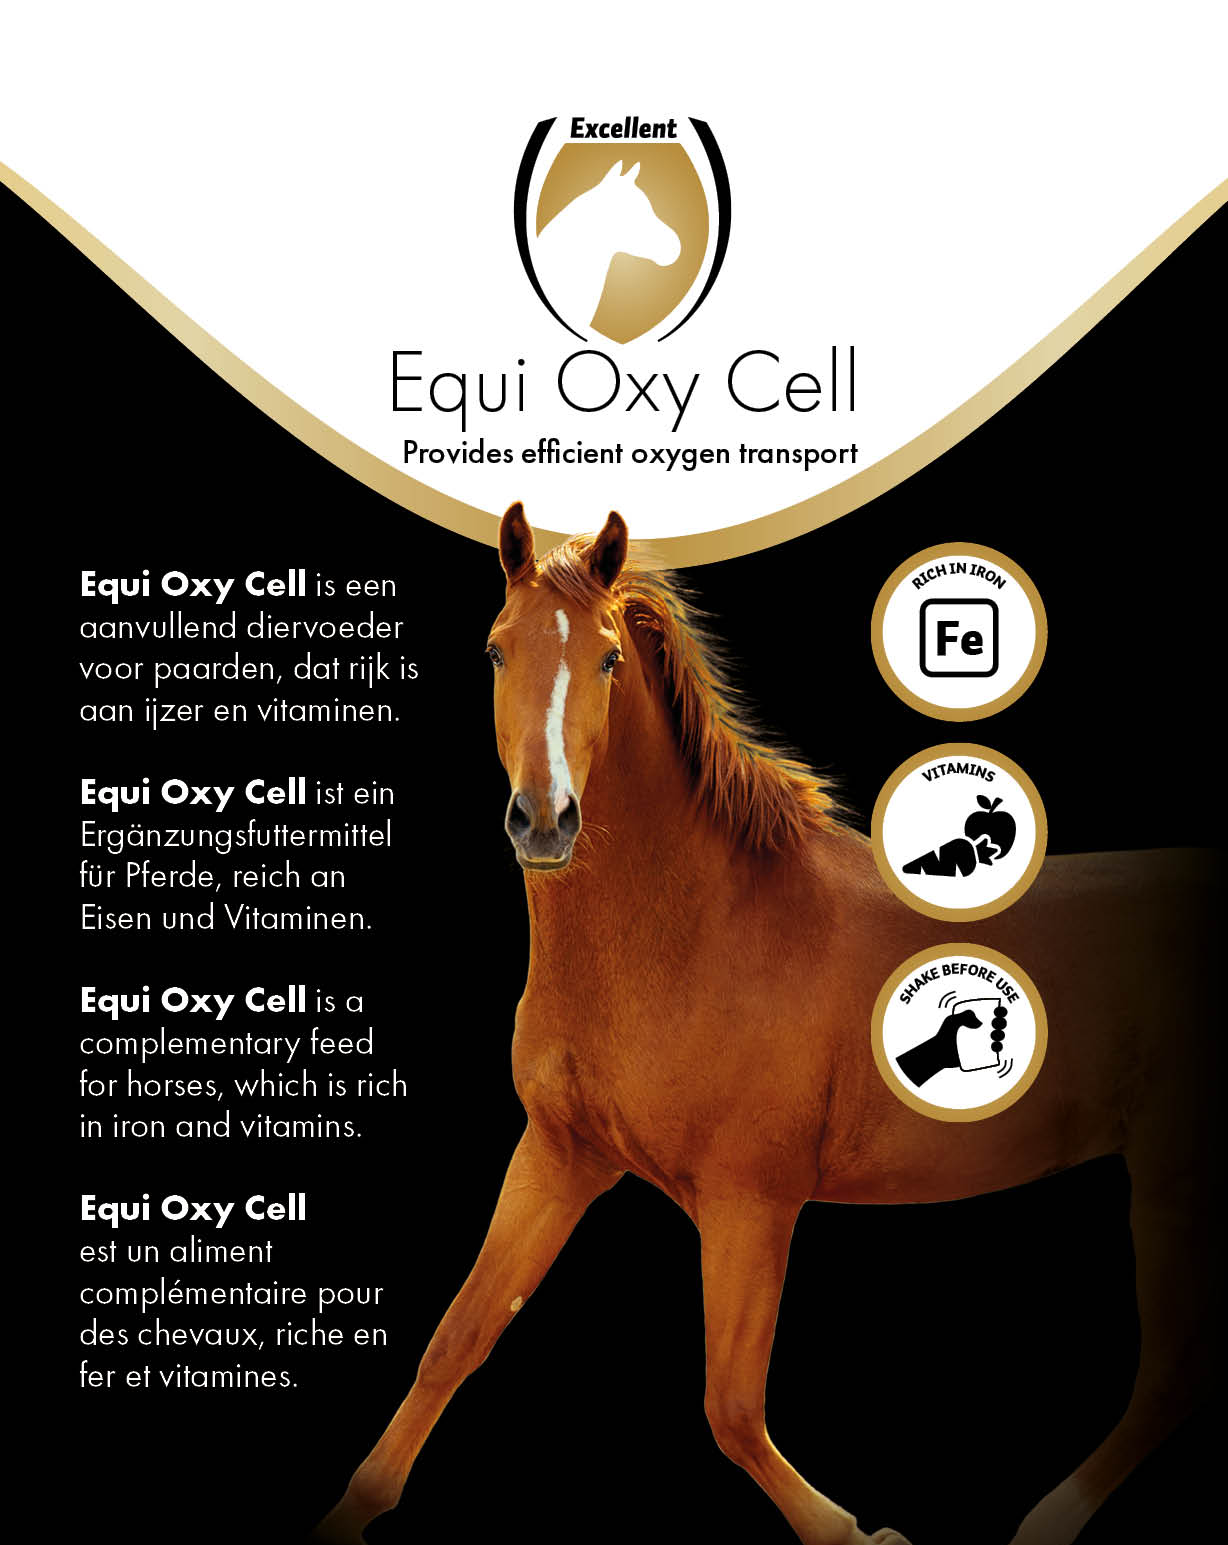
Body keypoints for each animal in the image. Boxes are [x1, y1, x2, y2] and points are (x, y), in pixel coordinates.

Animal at [315, 506, 1217, 1545]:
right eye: (497, 650)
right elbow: (457, 1335)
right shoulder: (560, 1152)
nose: (544, 821)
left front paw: (858, 1532)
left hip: (1170, 1175)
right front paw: (349, 1512)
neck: (694, 929)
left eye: (609, 658)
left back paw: (1046, 1521)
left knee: (1172, 1370)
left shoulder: (752, 1201)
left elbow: (732, 1407)